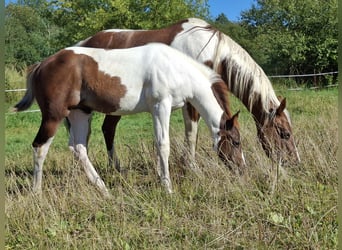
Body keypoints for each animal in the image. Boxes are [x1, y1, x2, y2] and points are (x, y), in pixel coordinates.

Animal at [12, 43, 243, 195]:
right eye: (236, 142)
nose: (242, 168)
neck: (174, 68)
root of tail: (42, 64)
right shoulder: (161, 106)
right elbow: (164, 145)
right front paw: (168, 188)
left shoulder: (157, 111)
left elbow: (158, 144)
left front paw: (161, 179)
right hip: (54, 116)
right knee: (40, 147)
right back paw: (37, 193)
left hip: (80, 113)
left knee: (78, 148)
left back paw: (103, 190)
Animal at [69, 17, 300, 169]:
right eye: (285, 134)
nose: (296, 163)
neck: (210, 50)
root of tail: (84, 43)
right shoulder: (191, 100)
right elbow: (192, 133)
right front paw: (190, 166)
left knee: (105, 130)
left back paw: (115, 168)